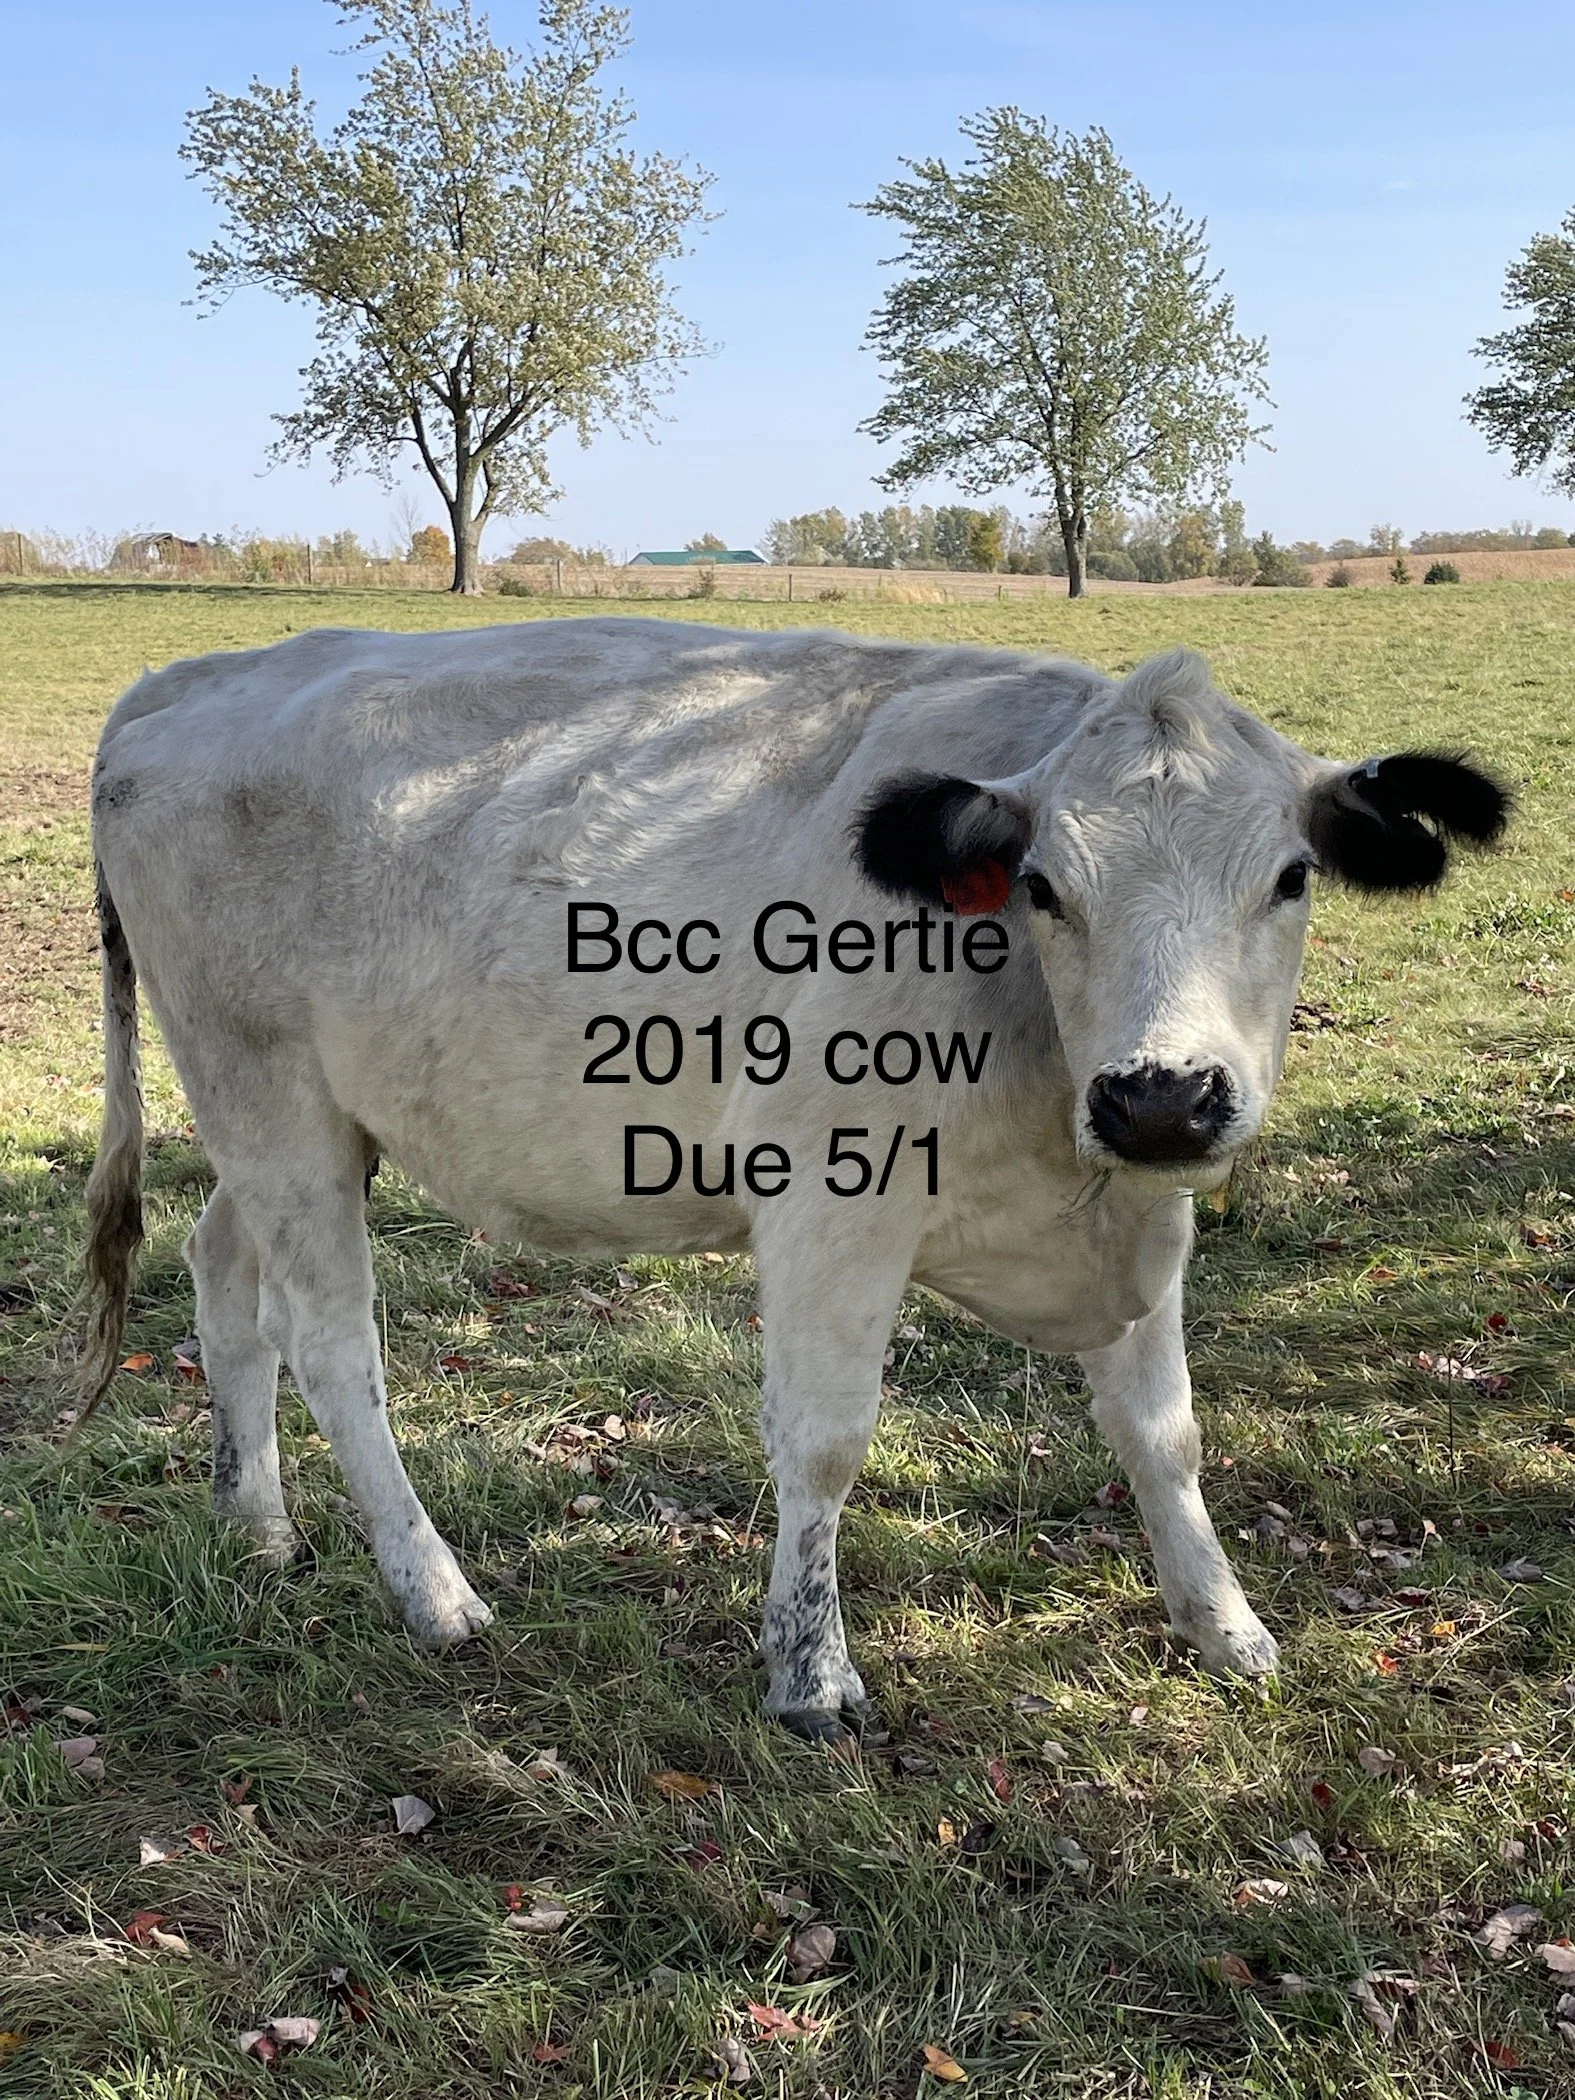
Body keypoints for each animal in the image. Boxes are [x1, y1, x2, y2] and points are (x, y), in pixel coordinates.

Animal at [80, 620, 1507, 1740]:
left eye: (1292, 876)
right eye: (1043, 885)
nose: (1159, 1095)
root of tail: (190, 677)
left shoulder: (1141, 1218)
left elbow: (1163, 1433)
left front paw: (1225, 1626)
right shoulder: (834, 1201)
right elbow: (824, 1442)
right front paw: (810, 1673)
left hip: (308, 1120)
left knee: (225, 1277)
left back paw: (257, 1522)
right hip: (263, 1090)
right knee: (331, 1340)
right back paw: (433, 1591)